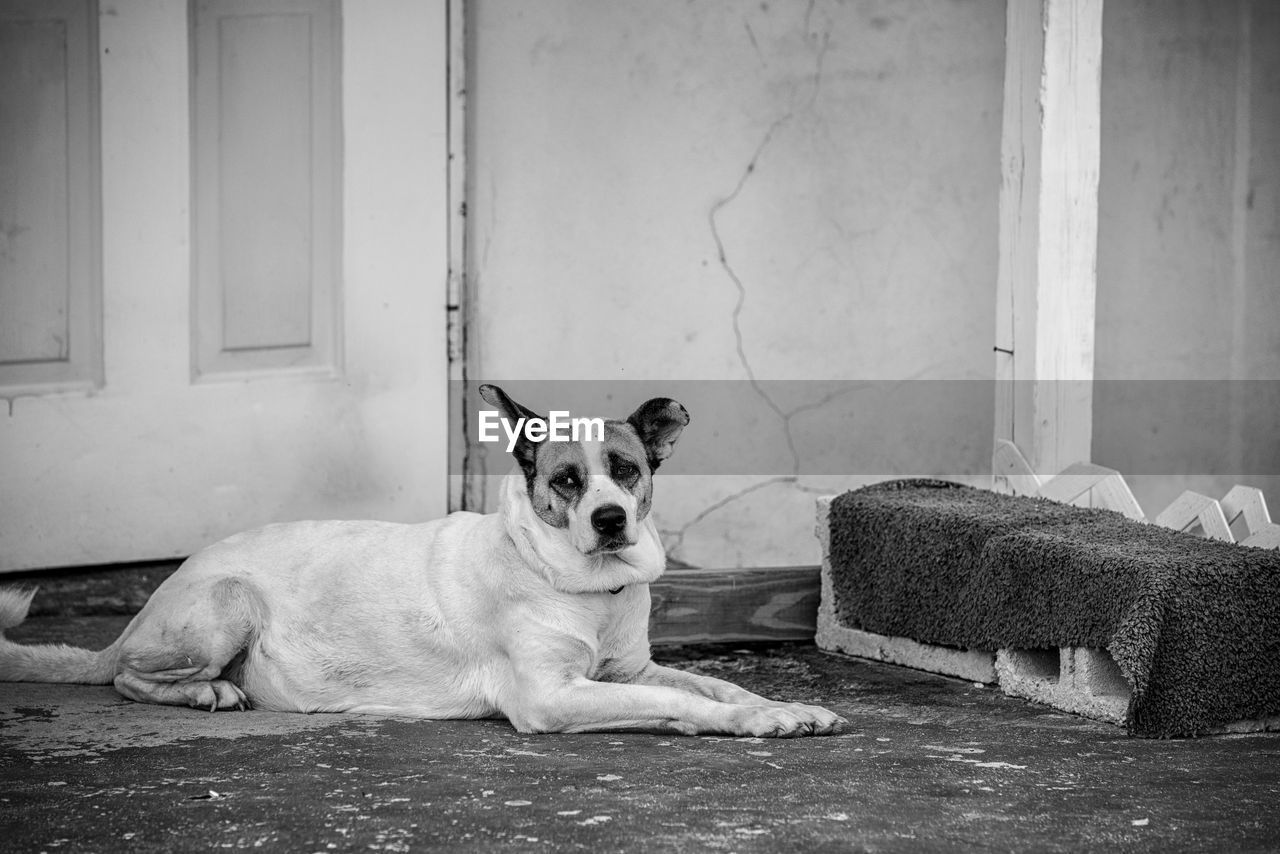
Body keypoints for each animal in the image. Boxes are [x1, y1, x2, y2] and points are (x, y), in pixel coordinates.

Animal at [0, 389, 844, 742]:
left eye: (626, 470)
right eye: (568, 480)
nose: (610, 522)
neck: (585, 588)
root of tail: (153, 597)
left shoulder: (628, 670)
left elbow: (717, 684)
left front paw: (781, 706)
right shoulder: (552, 696)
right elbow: (683, 703)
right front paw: (755, 722)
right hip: (227, 603)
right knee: (124, 676)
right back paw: (205, 690)